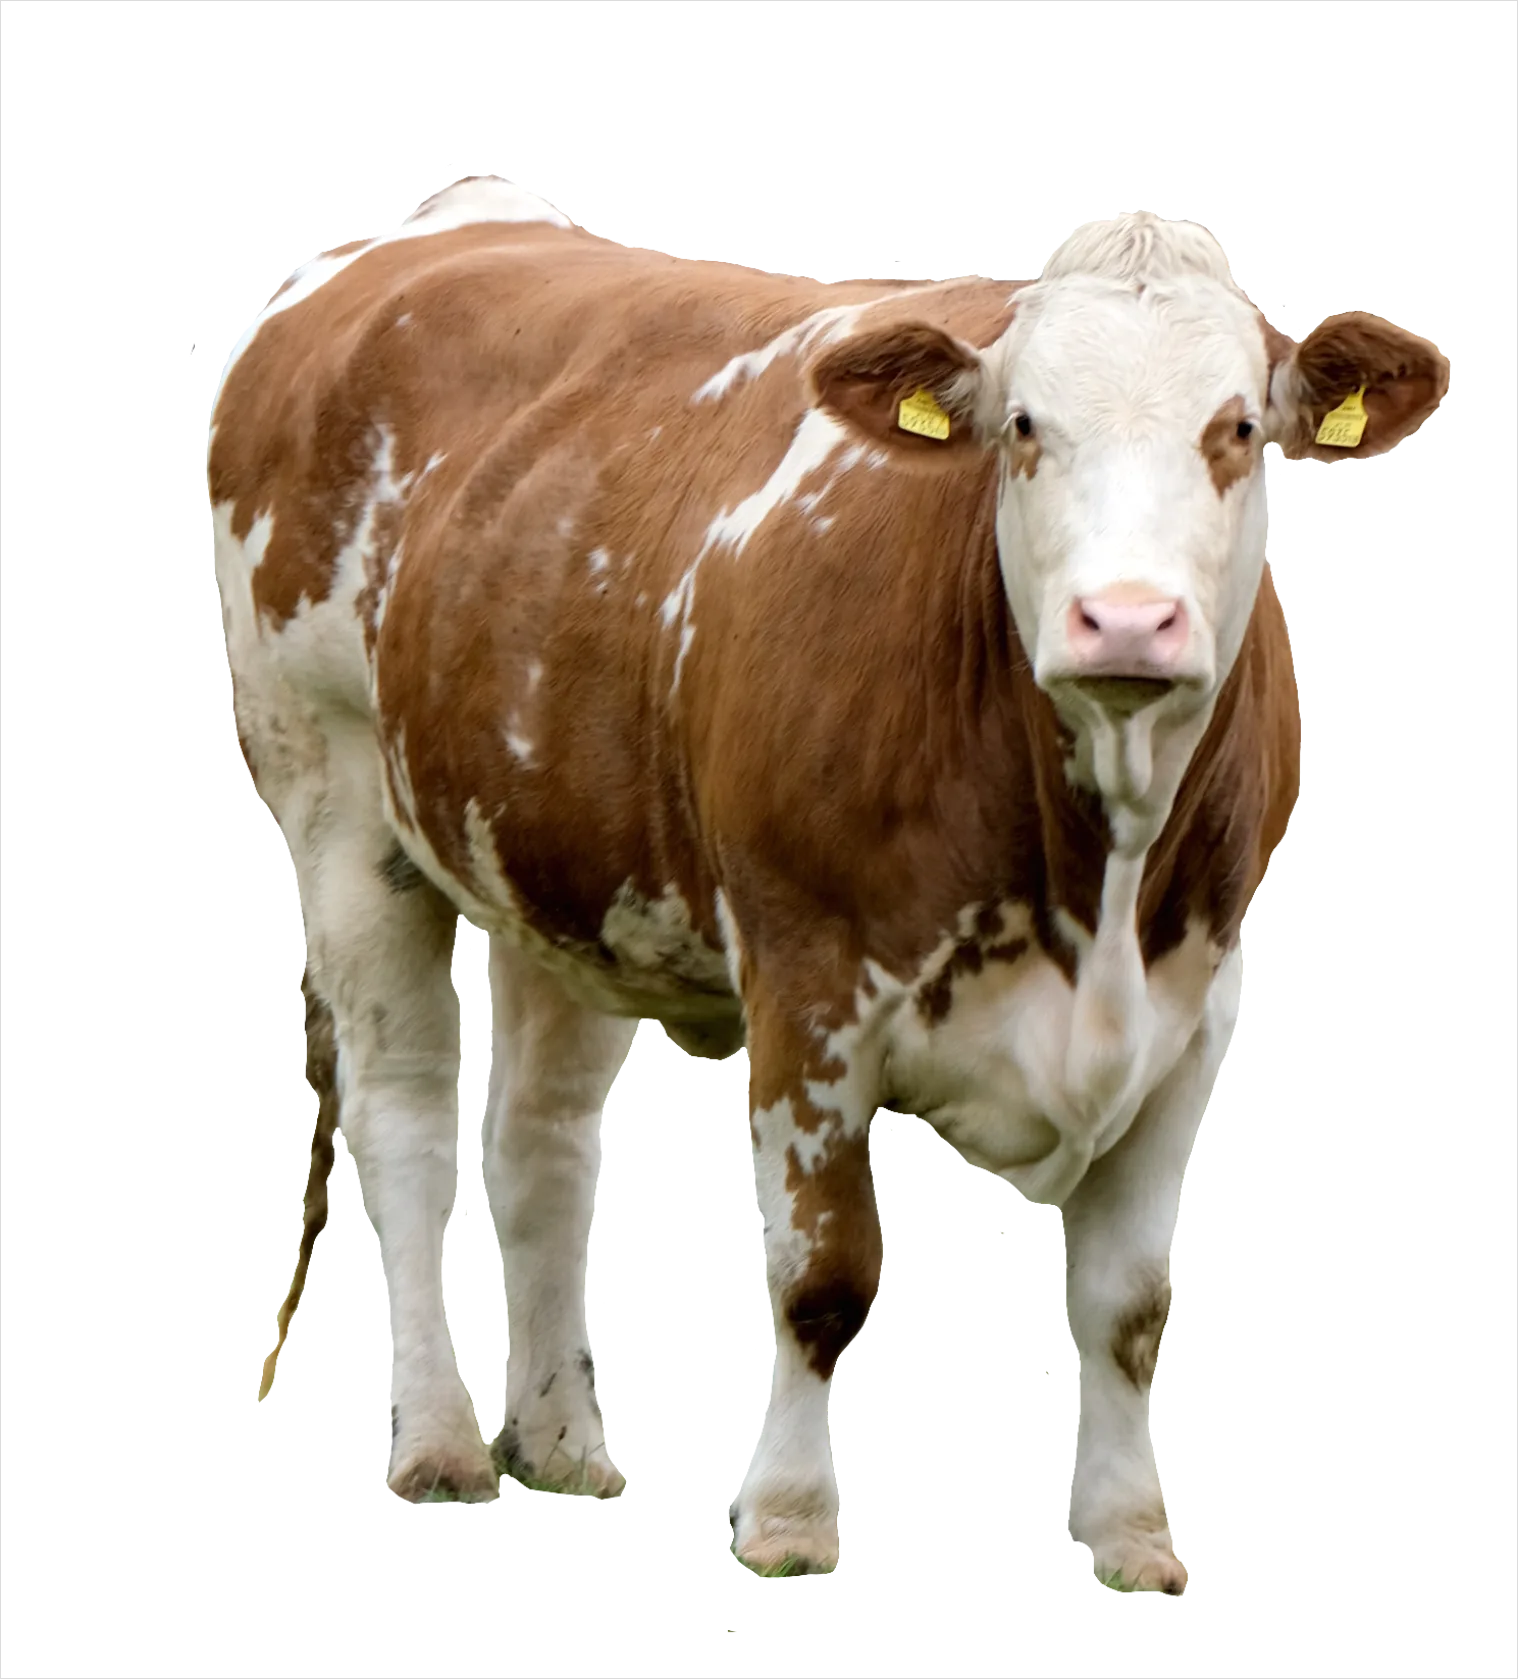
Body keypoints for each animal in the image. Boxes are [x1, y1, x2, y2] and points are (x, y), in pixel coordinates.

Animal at [212, 177, 1449, 1589]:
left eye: (1238, 425)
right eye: (1024, 426)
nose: (1127, 620)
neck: (1096, 874)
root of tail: (449, 222)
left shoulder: (1196, 1007)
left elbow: (1130, 1307)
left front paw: (1133, 1531)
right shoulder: (807, 987)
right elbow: (822, 1276)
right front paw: (790, 1517)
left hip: (551, 857)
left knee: (542, 1136)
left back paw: (564, 1441)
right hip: (338, 809)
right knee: (408, 1120)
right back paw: (439, 1441)